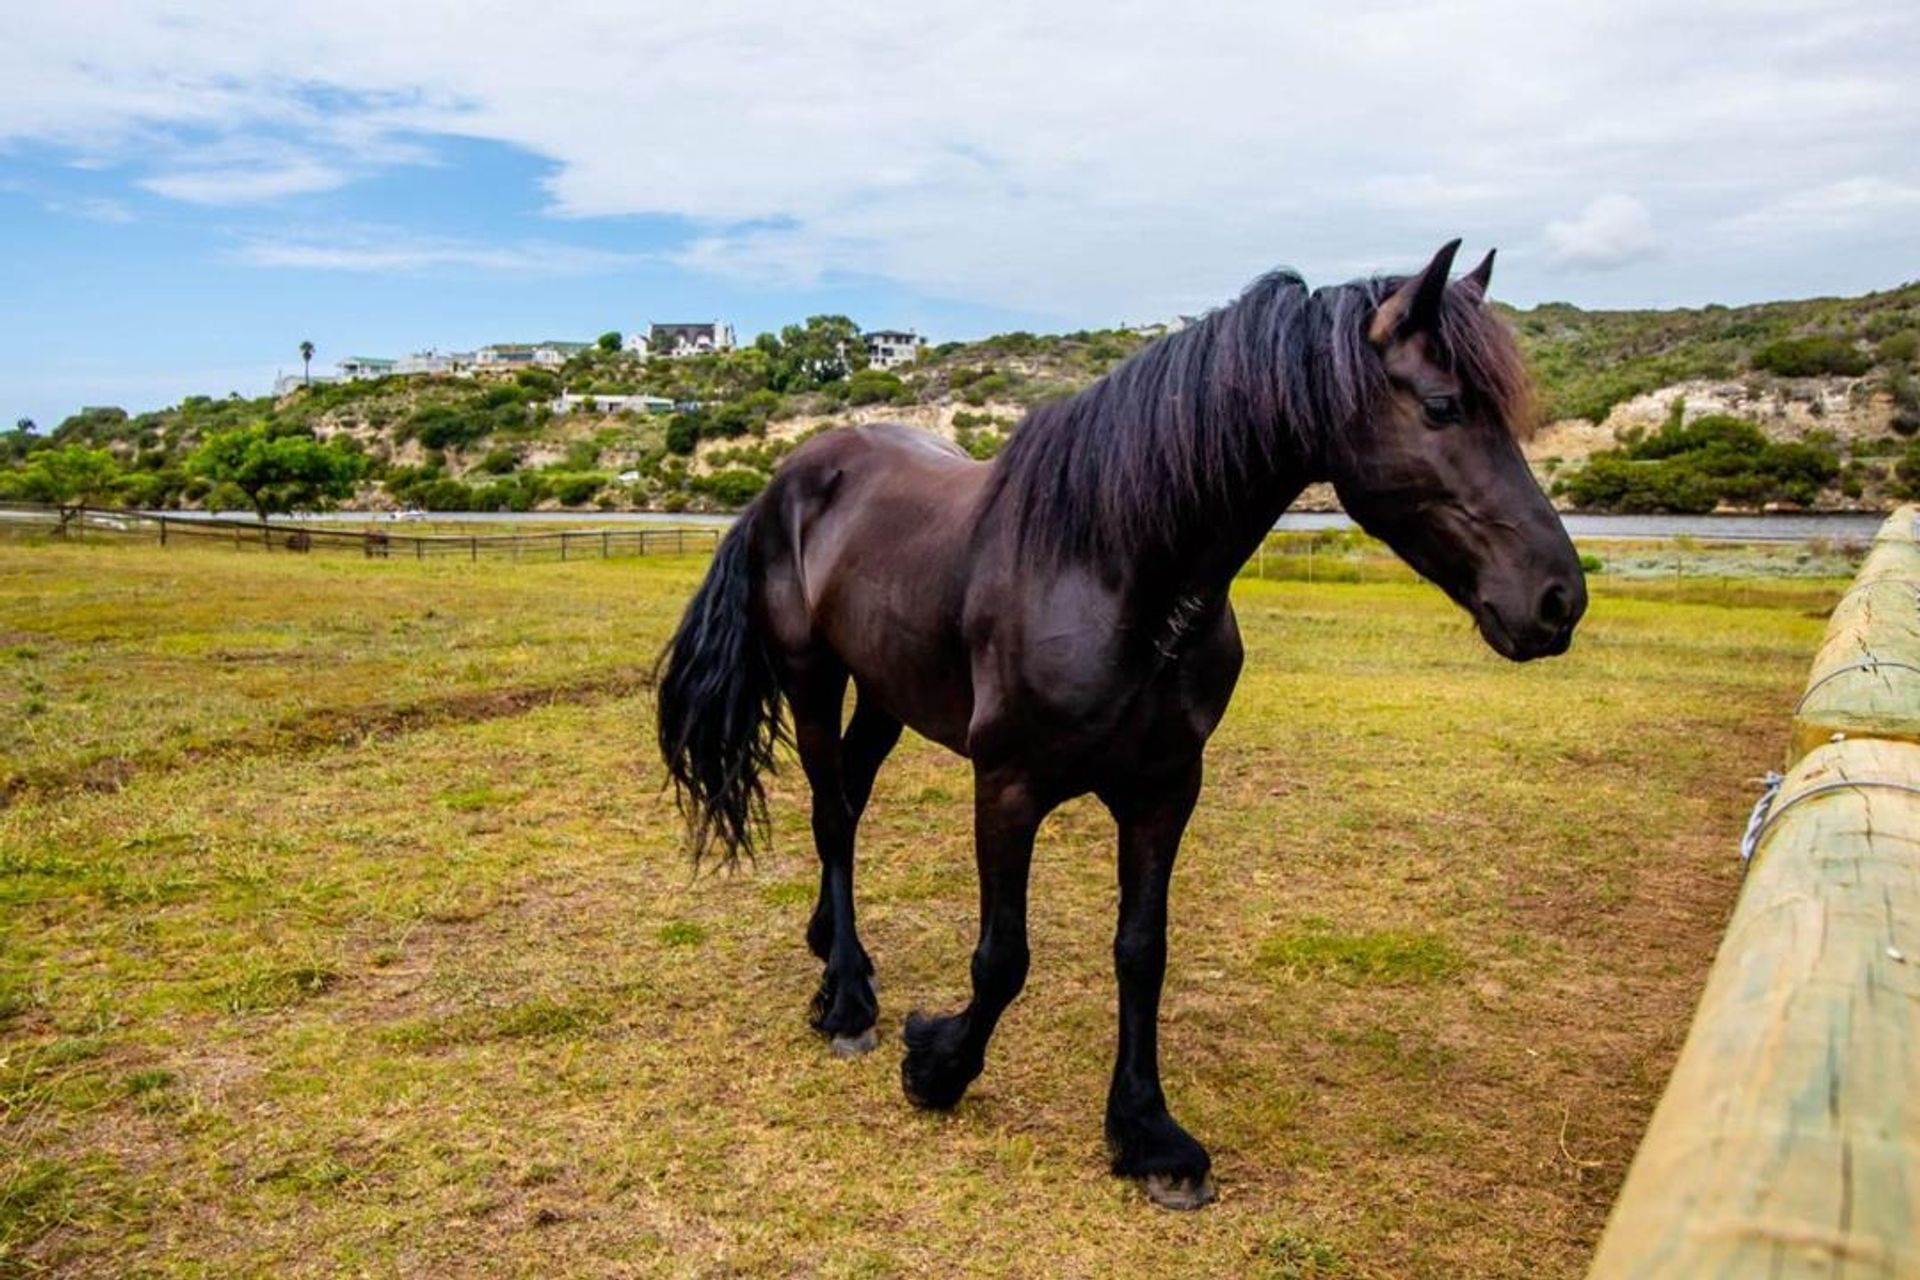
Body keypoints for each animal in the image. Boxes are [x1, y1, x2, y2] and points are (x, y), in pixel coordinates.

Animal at [652, 239, 1582, 1212]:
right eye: (1442, 406)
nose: (1558, 600)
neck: (1113, 570)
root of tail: (786, 480)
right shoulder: (1007, 786)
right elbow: (1003, 957)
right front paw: (938, 1066)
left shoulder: (1164, 789)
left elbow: (1142, 951)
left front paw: (1148, 1134)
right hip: (812, 675)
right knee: (833, 812)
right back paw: (845, 1002)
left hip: (885, 693)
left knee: (851, 803)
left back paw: (837, 950)